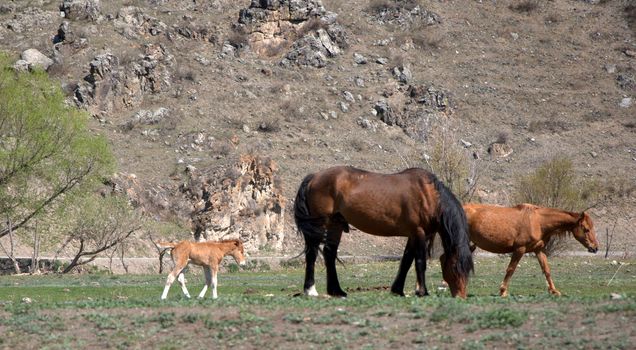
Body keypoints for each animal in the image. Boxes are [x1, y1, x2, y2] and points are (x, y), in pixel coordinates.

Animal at [294, 167, 472, 298]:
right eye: (455, 266)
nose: (461, 296)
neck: (428, 194)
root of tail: (314, 177)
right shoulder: (419, 232)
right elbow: (420, 262)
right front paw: (422, 292)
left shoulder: (413, 235)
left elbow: (406, 261)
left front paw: (397, 290)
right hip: (320, 225)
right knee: (312, 255)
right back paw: (310, 290)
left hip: (335, 225)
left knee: (329, 254)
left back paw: (337, 291)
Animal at [464, 204, 600, 296]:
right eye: (586, 229)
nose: (595, 248)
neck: (538, 222)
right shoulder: (519, 249)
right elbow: (511, 269)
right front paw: (503, 291)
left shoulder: (539, 250)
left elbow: (546, 270)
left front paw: (554, 290)